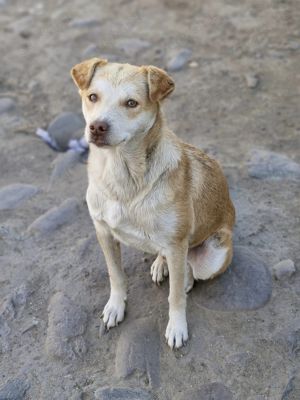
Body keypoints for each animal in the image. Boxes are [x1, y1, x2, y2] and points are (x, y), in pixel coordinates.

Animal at [71, 57, 236, 348]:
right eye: (92, 97)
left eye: (131, 103)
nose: (97, 127)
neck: (122, 176)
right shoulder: (103, 231)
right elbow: (116, 276)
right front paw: (115, 307)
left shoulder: (176, 243)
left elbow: (175, 297)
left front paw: (177, 327)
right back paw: (162, 264)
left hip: (213, 254)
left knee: (189, 269)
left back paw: (183, 278)